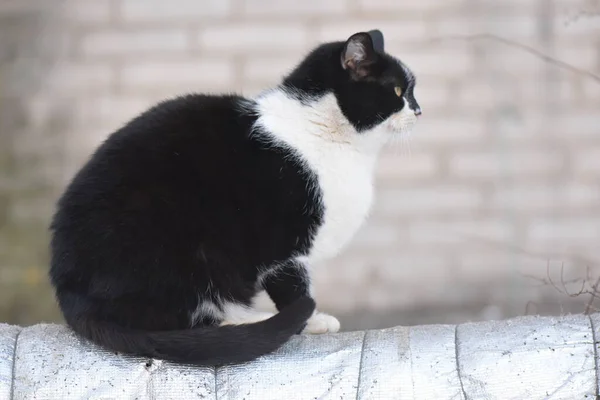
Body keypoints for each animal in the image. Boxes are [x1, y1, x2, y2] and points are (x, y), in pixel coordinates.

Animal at [48, 28, 422, 366]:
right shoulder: (282, 241)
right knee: (182, 320)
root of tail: (68, 293)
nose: (419, 111)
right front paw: (313, 320)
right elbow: (293, 288)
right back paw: (253, 319)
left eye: (412, 91)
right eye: (398, 91)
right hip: (180, 246)